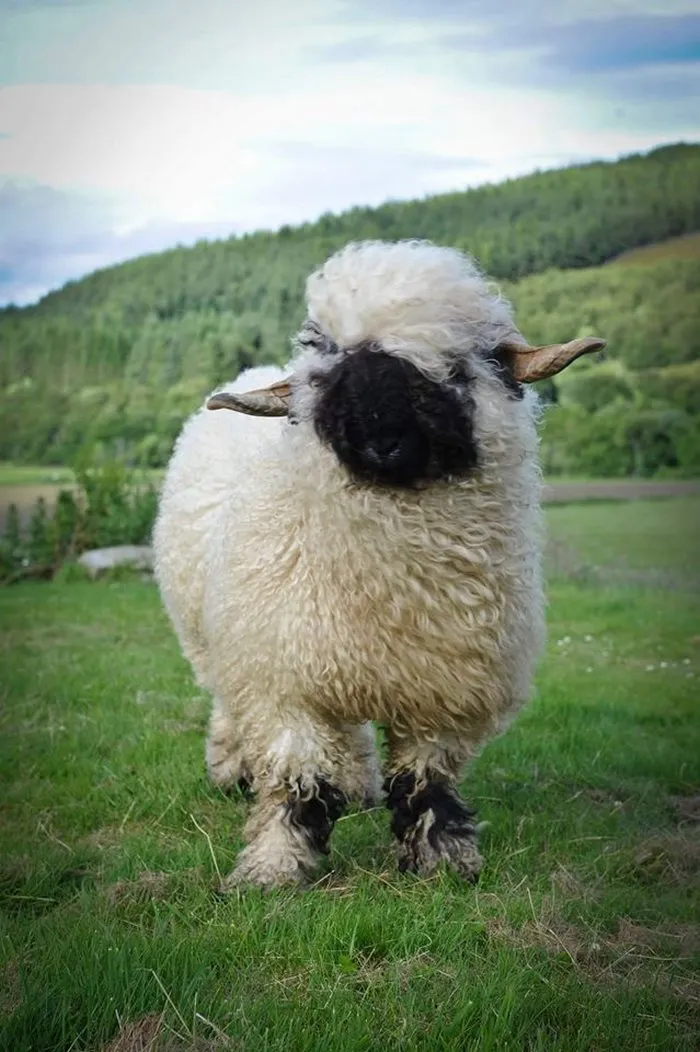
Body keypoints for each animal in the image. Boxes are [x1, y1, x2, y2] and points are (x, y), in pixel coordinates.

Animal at [153, 239, 605, 889]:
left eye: (464, 365)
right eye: (329, 372)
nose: (381, 438)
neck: (389, 591)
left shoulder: (442, 689)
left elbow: (425, 781)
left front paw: (442, 861)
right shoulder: (282, 680)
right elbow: (297, 780)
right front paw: (273, 868)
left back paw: (358, 783)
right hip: (214, 641)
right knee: (231, 703)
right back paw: (233, 771)